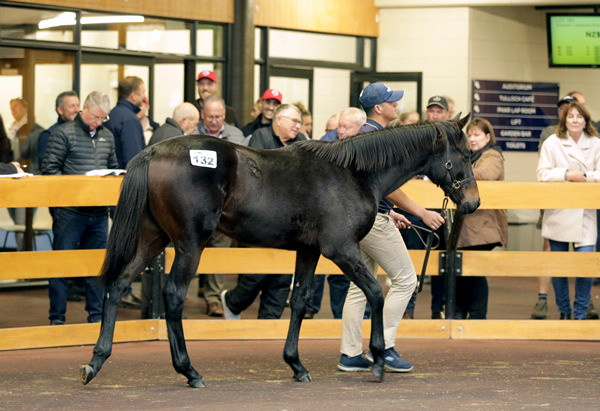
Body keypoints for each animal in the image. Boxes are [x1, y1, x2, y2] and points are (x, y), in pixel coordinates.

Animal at [81, 114, 478, 388]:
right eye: (466, 154)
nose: (473, 202)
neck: (354, 174)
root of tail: (153, 151)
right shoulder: (342, 249)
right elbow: (376, 295)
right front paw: (379, 360)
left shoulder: (309, 252)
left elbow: (299, 301)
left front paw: (296, 365)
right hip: (189, 244)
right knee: (174, 297)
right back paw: (189, 371)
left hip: (153, 239)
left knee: (117, 285)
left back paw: (96, 361)